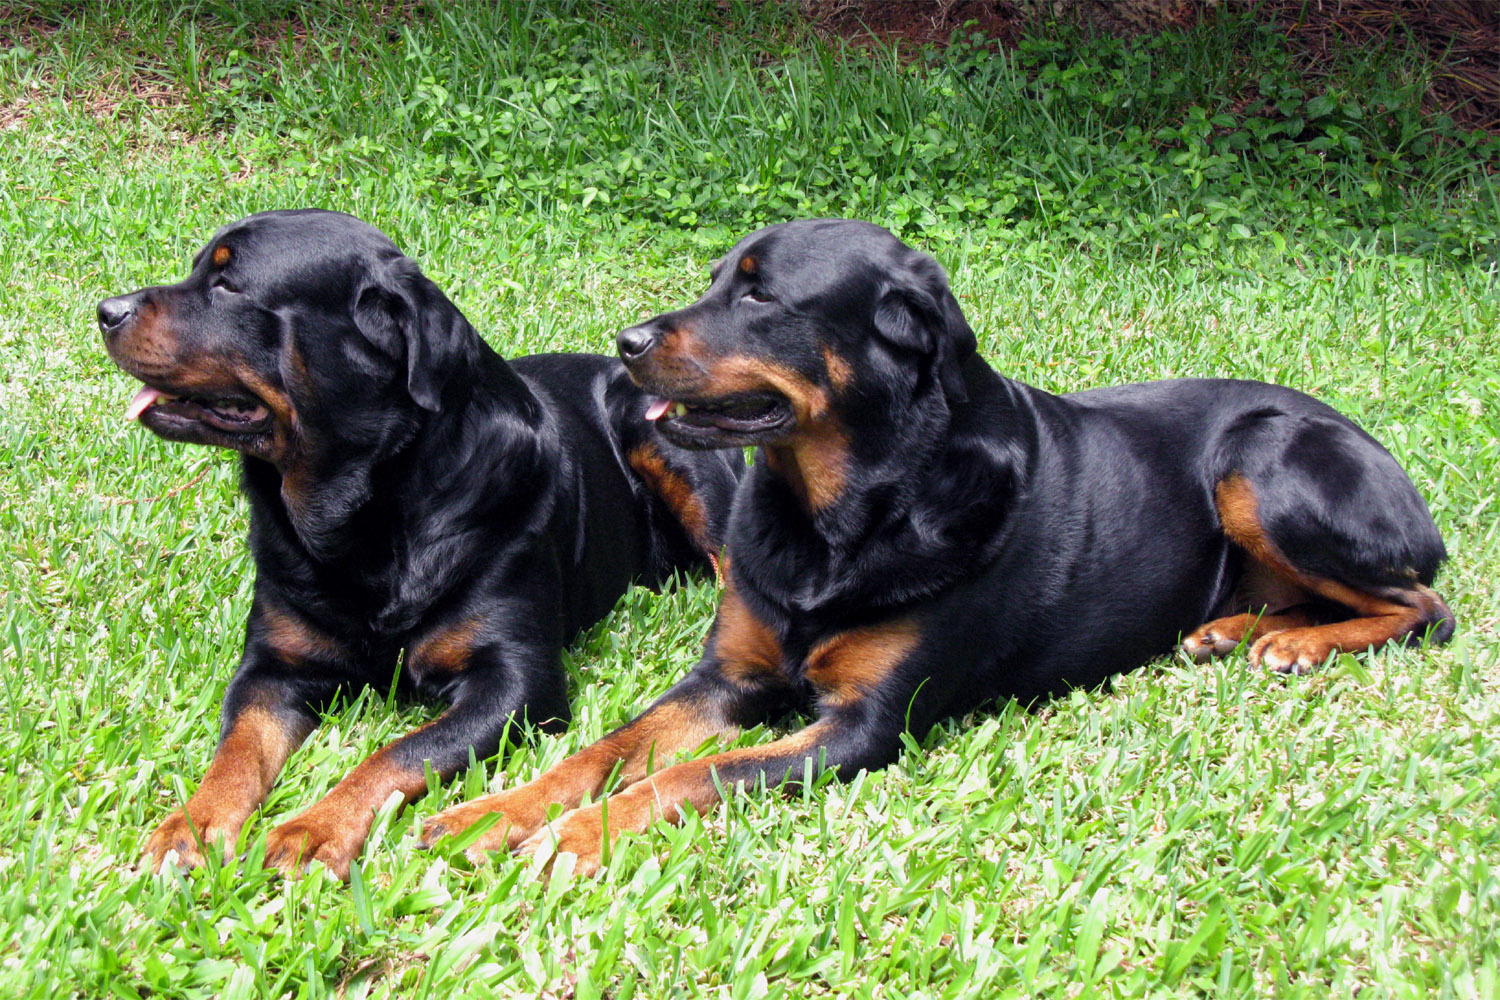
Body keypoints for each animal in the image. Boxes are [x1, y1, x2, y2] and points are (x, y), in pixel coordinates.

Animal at [100, 209, 740, 878]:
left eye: (227, 286)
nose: (106, 310)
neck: (362, 511)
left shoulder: (516, 685)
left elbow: (398, 754)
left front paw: (313, 827)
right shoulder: (272, 667)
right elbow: (238, 746)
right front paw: (194, 823)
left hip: (666, 443)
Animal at [418, 218, 1454, 875]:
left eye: (762, 298)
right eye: (713, 280)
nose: (627, 341)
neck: (835, 518)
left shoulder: (864, 728)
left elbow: (692, 774)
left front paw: (573, 839)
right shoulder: (728, 677)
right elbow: (609, 747)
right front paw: (489, 815)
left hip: (1260, 457)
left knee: (1424, 605)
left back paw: (1298, 645)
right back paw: (1237, 632)